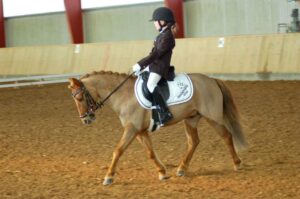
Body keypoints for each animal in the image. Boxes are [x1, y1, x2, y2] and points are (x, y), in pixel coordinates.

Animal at [68, 70, 248, 186]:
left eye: (80, 97)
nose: (86, 119)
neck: (124, 95)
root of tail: (212, 80)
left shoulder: (131, 129)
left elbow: (118, 151)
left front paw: (108, 177)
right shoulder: (140, 132)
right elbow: (150, 153)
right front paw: (162, 172)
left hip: (213, 118)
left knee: (227, 136)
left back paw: (237, 163)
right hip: (191, 119)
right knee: (194, 142)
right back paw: (181, 169)